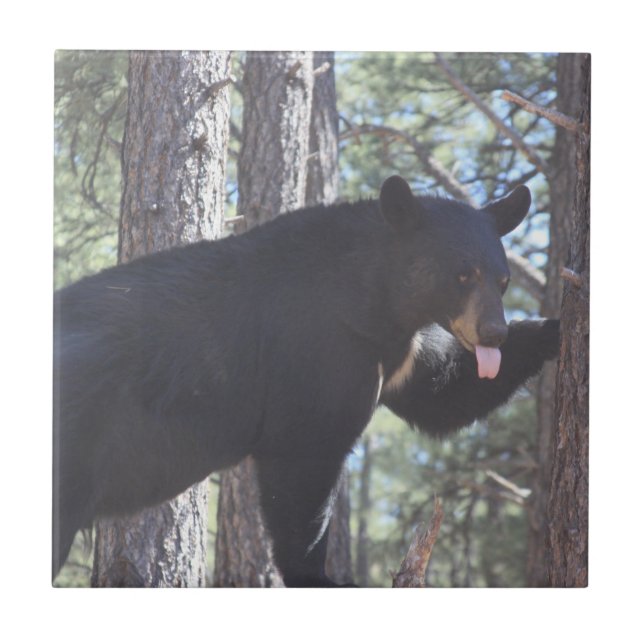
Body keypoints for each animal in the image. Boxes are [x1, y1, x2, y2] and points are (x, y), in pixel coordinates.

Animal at [53, 175, 559, 587]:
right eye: (461, 274)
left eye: (503, 280)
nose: (494, 332)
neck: (376, 303)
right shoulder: (316, 349)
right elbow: (304, 459)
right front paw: (320, 576)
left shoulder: (399, 355)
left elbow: (442, 394)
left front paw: (554, 327)